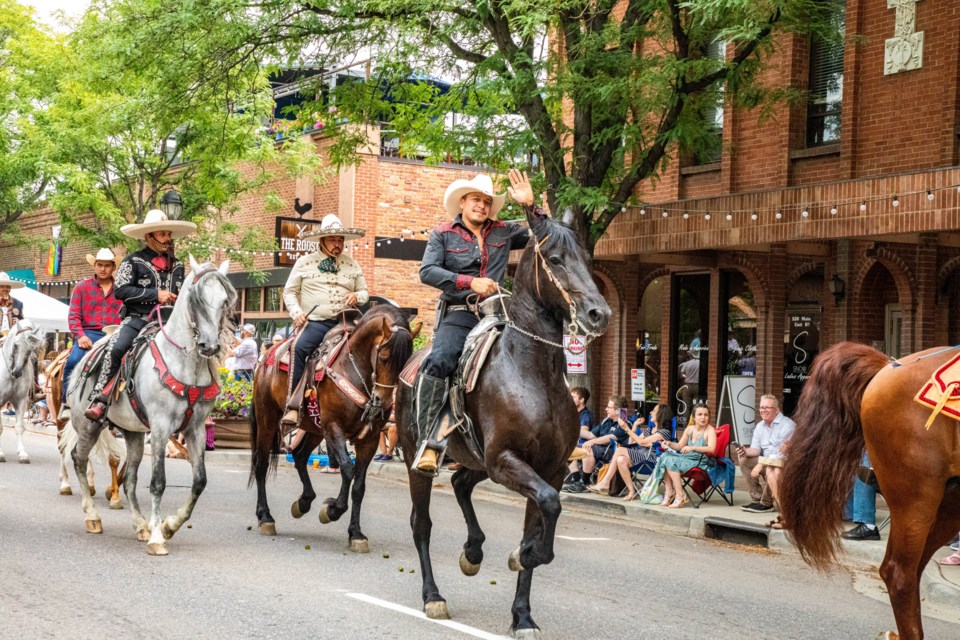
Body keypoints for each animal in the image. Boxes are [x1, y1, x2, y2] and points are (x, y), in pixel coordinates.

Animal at [0, 322, 44, 462]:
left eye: (30, 349)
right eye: (15, 345)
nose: (17, 372)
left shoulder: (21, 400)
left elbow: (19, 427)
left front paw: (22, 454)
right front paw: (0, 454)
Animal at [68, 258, 236, 552]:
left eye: (224, 300)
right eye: (197, 299)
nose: (210, 346)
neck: (186, 366)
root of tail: (84, 360)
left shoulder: (195, 429)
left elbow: (199, 481)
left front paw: (168, 526)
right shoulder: (160, 428)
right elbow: (158, 482)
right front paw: (159, 537)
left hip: (133, 433)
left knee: (129, 480)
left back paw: (140, 525)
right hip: (89, 425)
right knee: (78, 459)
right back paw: (93, 517)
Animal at [249, 304, 414, 552]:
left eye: (405, 361)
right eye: (384, 357)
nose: (382, 403)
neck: (353, 369)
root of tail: (266, 357)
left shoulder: (369, 439)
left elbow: (359, 486)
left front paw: (356, 533)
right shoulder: (334, 428)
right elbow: (347, 469)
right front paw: (332, 510)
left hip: (313, 428)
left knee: (299, 456)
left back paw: (304, 502)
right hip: (268, 419)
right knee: (261, 464)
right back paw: (265, 517)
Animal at [396, 208, 608, 636]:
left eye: (587, 259)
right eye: (555, 260)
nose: (599, 314)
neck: (533, 372)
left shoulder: (549, 469)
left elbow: (544, 517)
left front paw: (522, 612)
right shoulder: (506, 459)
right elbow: (548, 509)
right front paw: (522, 554)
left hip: (476, 460)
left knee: (461, 483)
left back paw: (473, 551)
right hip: (419, 460)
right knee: (421, 523)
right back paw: (433, 596)